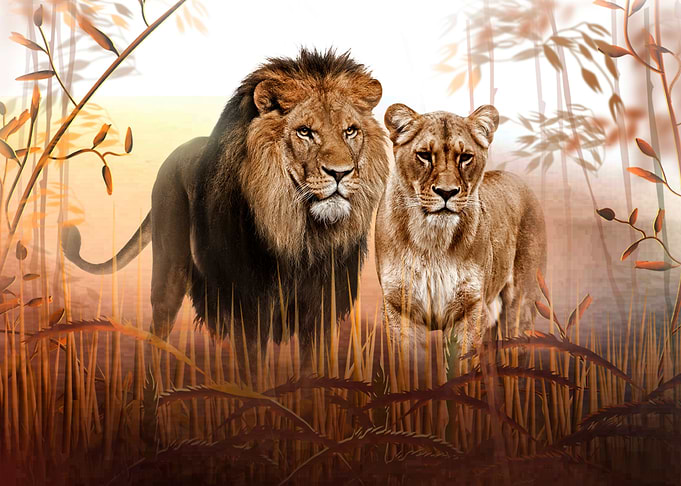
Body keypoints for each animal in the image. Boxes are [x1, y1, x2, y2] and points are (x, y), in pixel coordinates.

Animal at [62, 49, 389, 343]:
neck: (301, 236)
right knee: (159, 328)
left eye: (350, 131)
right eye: (305, 132)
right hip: (170, 270)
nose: (340, 173)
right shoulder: (248, 306)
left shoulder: (321, 310)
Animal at [375, 103, 546, 351]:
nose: (446, 192)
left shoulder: (470, 309)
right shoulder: (399, 309)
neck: (433, 241)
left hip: (521, 301)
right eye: (424, 155)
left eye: (465, 157)